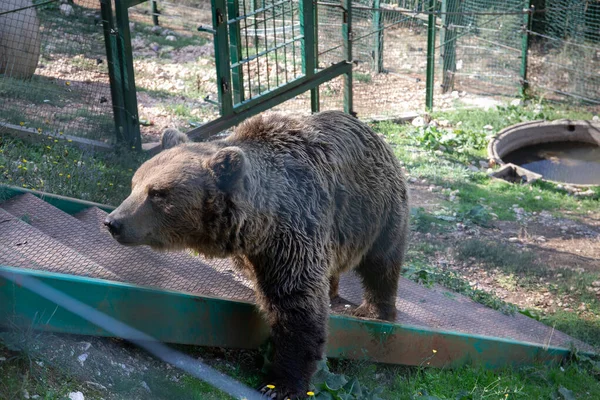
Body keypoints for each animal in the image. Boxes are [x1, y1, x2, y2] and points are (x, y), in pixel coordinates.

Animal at [105, 110, 410, 400]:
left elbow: (297, 304)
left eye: (157, 193)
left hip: (376, 211)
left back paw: (374, 309)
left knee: (382, 264)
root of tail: (374, 133)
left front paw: (281, 384)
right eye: (135, 183)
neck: (259, 225)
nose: (113, 222)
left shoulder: (296, 229)